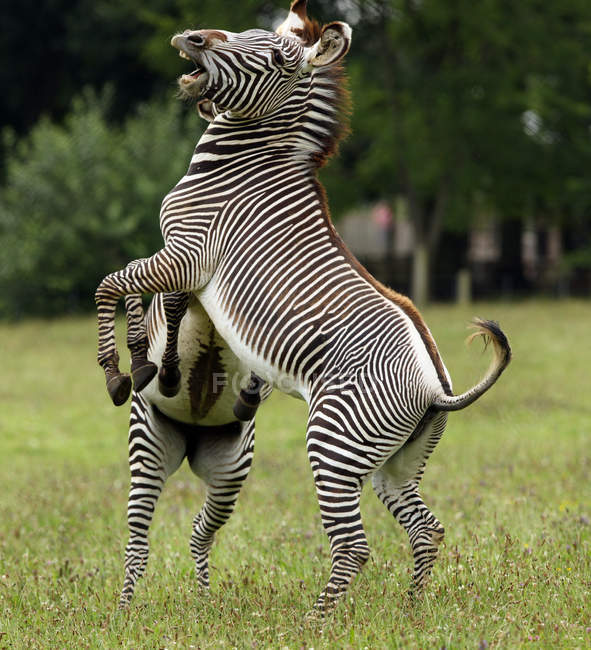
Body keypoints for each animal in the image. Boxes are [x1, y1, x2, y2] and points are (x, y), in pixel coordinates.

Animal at [95, 0, 512, 612]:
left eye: (277, 58)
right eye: (245, 31)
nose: (193, 38)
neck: (235, 165)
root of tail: (437, 389)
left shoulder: (187, 255)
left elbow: (112, 286)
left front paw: (120, 370)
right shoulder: (180, 265)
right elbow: (137, 296)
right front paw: (145, 362)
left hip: (334, 443)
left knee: (355, 545)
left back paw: (317, 621)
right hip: (394, 465)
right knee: (426, 529)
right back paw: (412, 609)